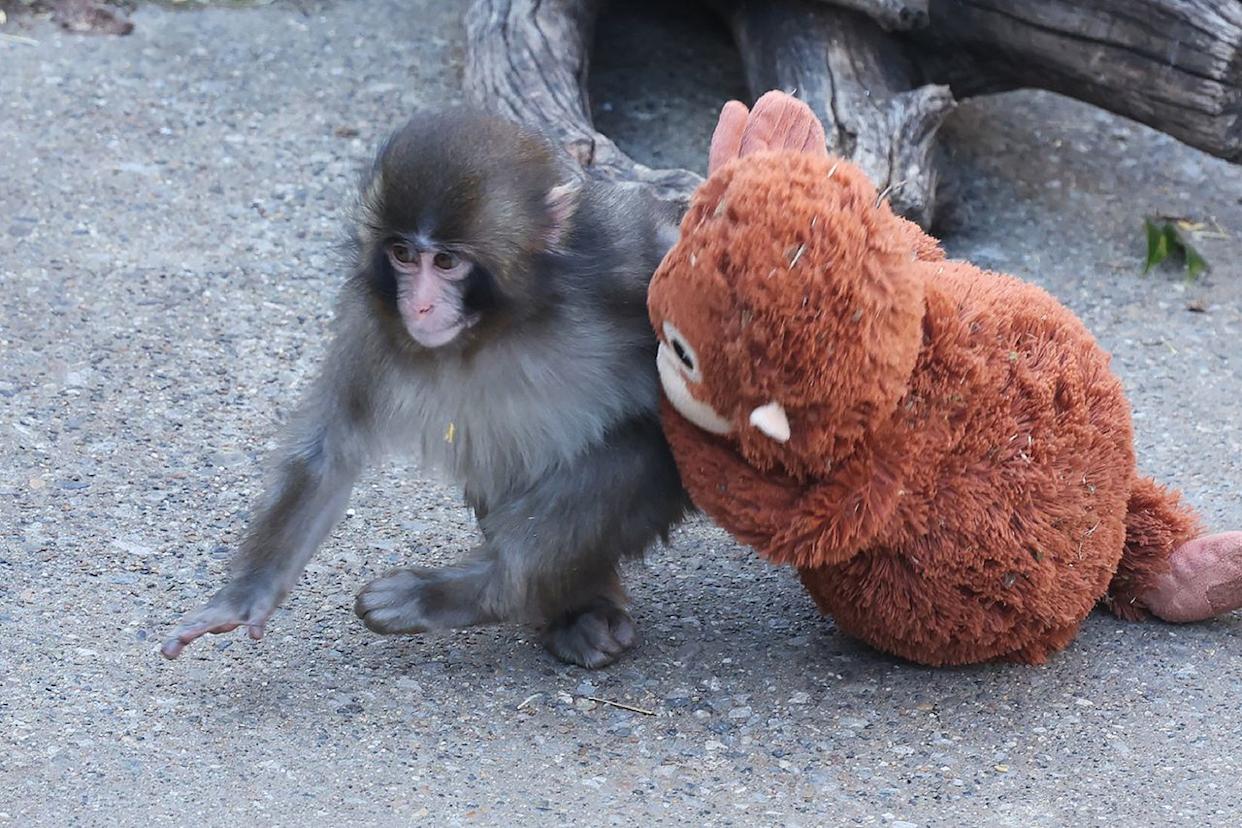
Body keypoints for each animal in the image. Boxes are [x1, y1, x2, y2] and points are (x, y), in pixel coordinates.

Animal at [161, 108, 694, 668]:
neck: (504, 322)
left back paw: (474, 591)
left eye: (445, 262)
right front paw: (245, 596)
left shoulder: (626, 259)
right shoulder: (372, 319)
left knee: (636, 452)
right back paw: (576, 611)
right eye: (401, 254)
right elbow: (330, 449)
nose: (417, 306)